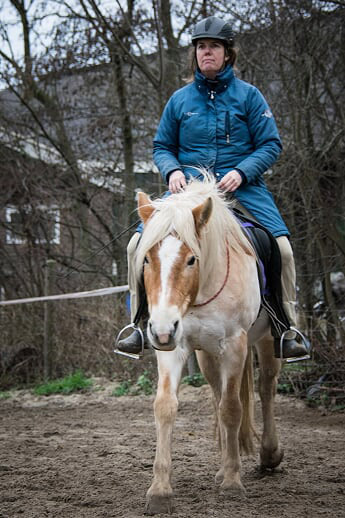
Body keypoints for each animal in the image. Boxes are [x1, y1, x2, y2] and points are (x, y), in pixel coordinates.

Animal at [134, 178, 282, 516]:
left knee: (266, 387)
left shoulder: (235, 345)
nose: (161, 330)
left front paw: (232, 484)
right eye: (146, 258)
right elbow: (166, 407)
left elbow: (232, 409)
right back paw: (225, 465)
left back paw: (268, 455)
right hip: (207, 355)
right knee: (217, 393)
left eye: (191, 259)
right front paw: (159, 491)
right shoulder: (173, 346)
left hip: (265, 341)